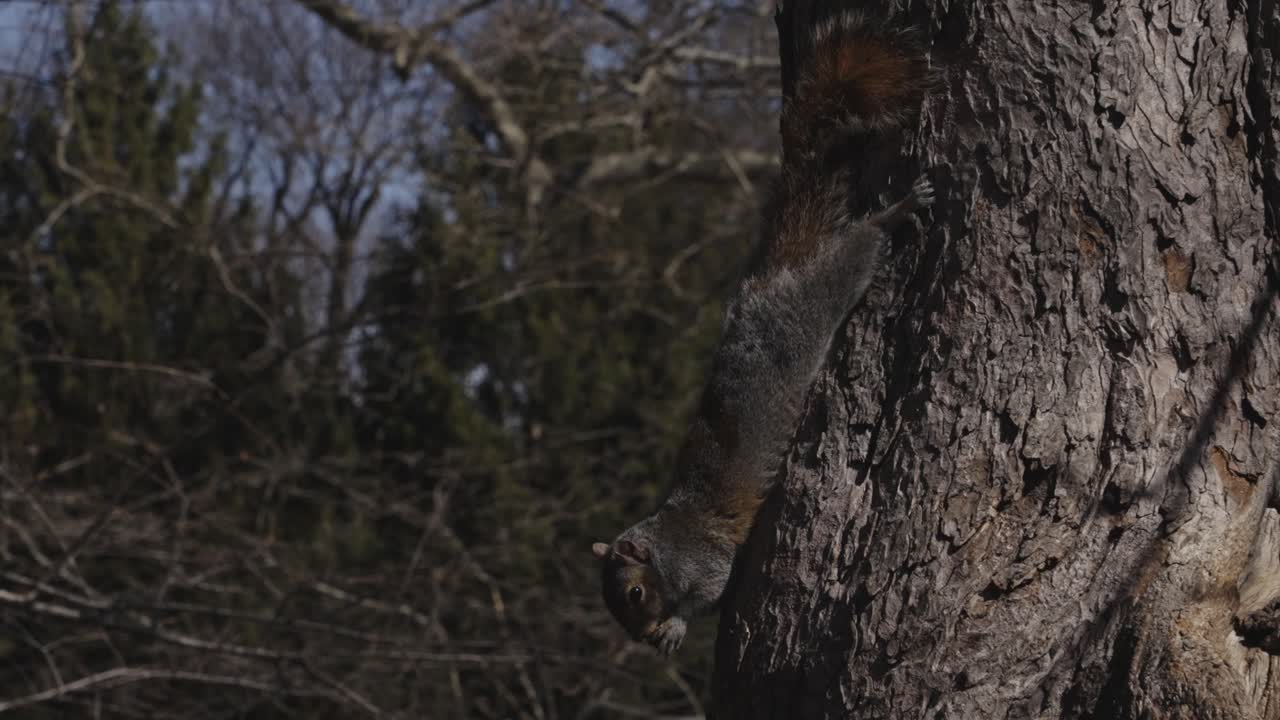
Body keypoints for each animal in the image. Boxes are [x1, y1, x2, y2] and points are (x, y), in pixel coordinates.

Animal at [591, 11, 935, 655]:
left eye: (635, 593)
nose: (642, 637)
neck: (667, 544)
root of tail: (770, 280)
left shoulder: (705, 561)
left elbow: (711, 591)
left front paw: (676, 627)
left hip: (818, 297)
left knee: (857, 249)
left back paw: (896, 211)